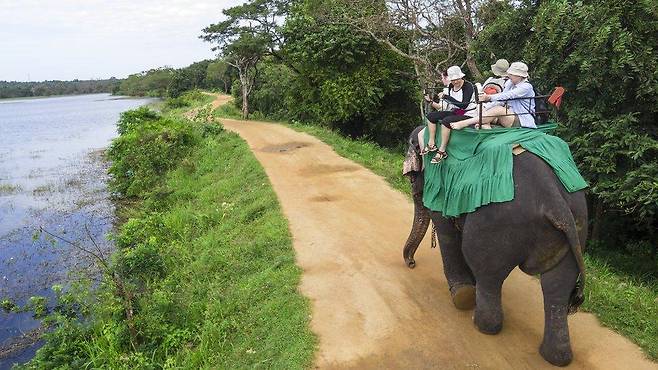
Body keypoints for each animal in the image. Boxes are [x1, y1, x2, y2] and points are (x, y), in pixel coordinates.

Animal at [402, 125, 588, 368]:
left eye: (412, 177)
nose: (411, 263)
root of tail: (554, 200)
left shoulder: (439, 186)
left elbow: (447, 233)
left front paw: (462, 293)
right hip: (576, 227)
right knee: (558, 286)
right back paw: (556, 357)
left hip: (496, 225)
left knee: (487, 271)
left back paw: (478, 320)